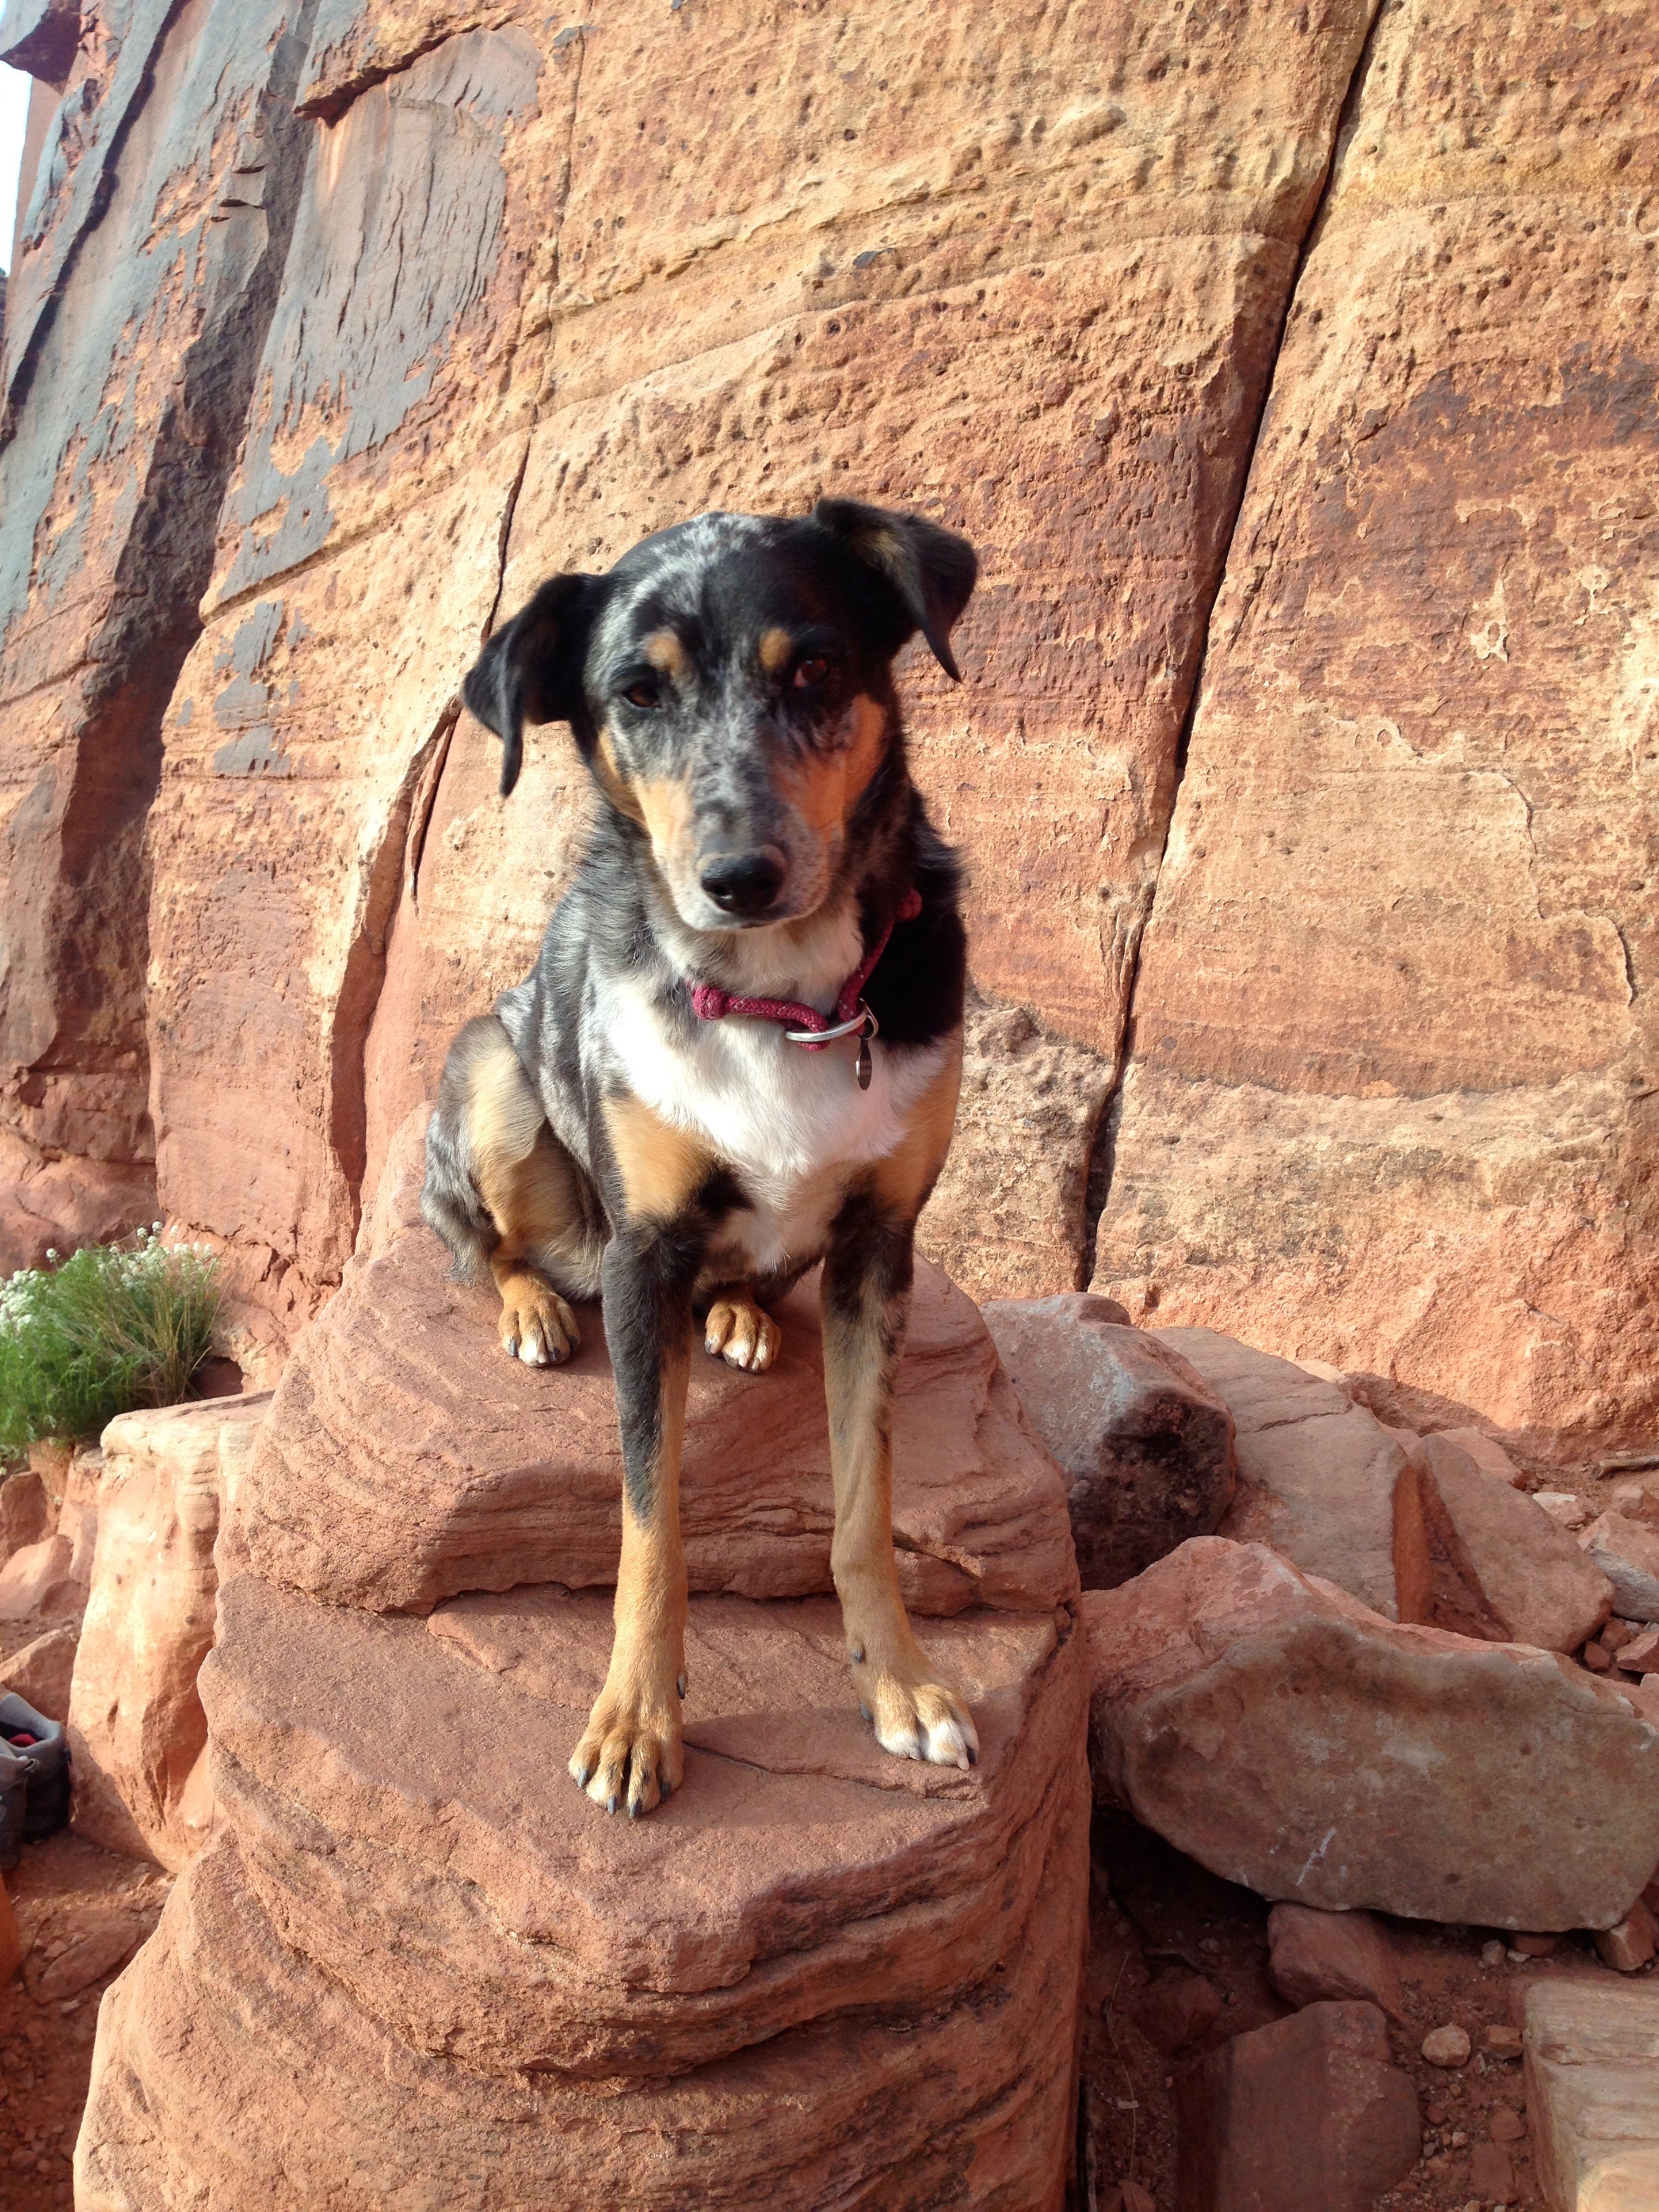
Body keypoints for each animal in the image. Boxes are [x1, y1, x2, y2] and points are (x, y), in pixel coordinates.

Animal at [422, 497, 982, 1814]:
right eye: (635, 691)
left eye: (816, 667)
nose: (739, 877)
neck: (779, 999)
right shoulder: (645, 1253)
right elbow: (648, 1518)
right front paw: (636, 1719)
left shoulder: (881, 1251)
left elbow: (863, 1503)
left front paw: (899, 1681)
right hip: (493, 1077)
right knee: (482, 1244)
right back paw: (532, 1307)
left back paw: (739, 1314)